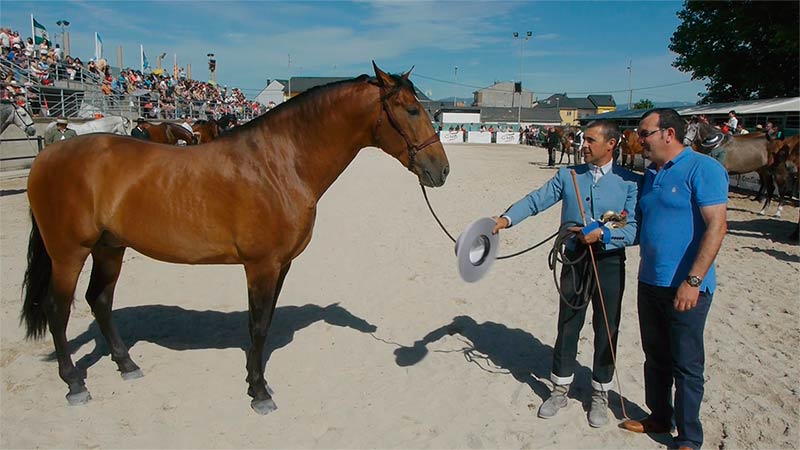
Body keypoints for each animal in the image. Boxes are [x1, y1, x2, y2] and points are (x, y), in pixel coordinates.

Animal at [20, 63, 450, 414]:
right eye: (411, 110)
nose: (441, 170)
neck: (280, 164)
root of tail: (46, 156)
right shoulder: (261, 265)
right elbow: (257, 326)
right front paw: (259, 393)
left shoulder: (281, 265)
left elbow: (265, 322)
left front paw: (253, 379)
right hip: (69, 253)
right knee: (58, 311)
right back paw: (75, 384)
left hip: (110, 248)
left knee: (101, 301)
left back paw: (127, 365)